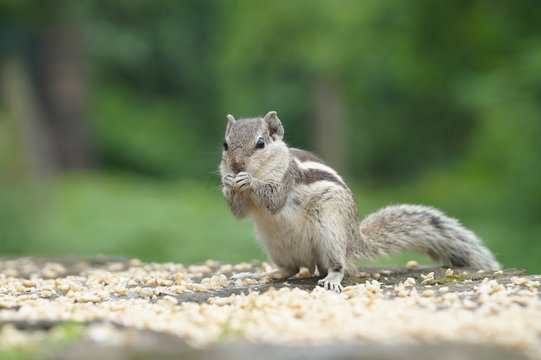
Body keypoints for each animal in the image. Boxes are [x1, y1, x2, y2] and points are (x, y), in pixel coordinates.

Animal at [218, 111, 498, 292]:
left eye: (261, 143)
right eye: (225, 144)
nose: (236, 165)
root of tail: (352, 239)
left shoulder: (287, 179)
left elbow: (274, 199)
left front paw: (246, 181)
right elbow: (239, 212)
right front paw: (228, 185)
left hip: (330, 231)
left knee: (341, 267)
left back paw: (332, 278)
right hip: (276, 247)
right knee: (290, 270)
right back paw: (258, 273)